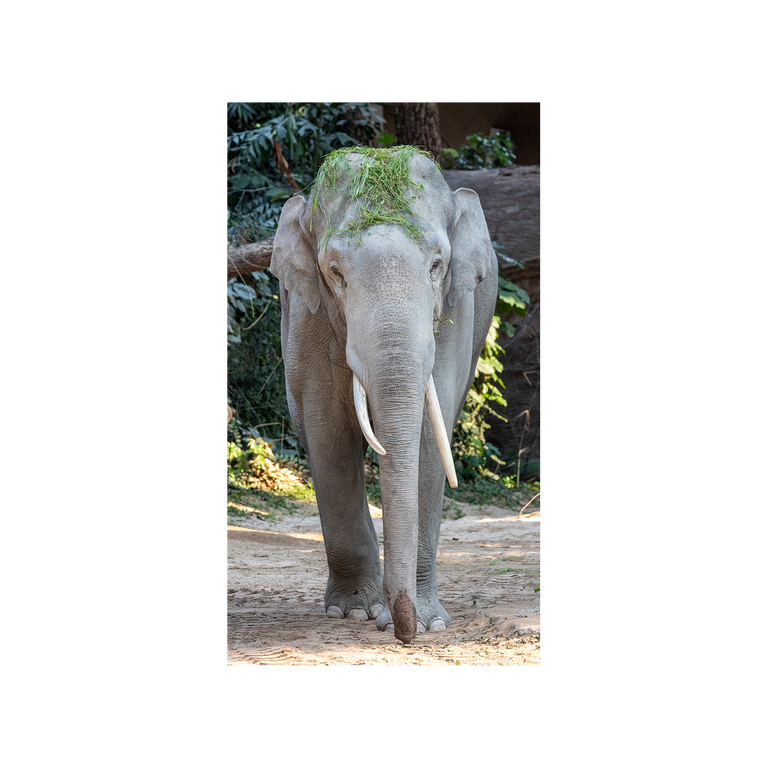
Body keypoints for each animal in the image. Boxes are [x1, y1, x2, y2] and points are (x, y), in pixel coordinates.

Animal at [269, 146, 497, 643]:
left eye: (437, 265)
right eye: (335, 272)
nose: (404, 636)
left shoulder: (454, 311)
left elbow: (430, 437)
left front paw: (427, 624)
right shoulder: (309, 311)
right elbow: (327, 430)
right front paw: (356, 613)